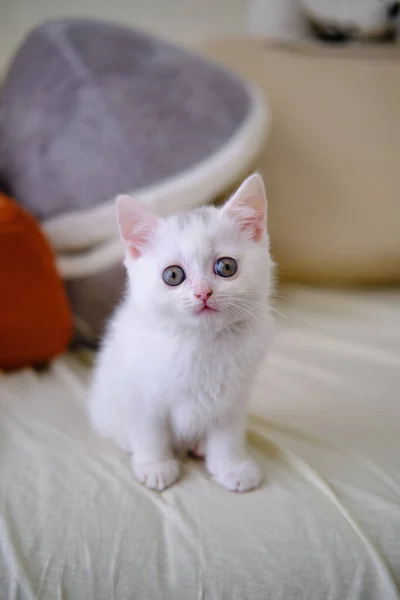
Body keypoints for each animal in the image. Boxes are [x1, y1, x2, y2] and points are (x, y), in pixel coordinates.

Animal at [87, 173, 276, 492]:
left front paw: (232, 466)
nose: (203, 293)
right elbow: (149, 431)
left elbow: (227, 434)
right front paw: (155, 466)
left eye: (226, 266)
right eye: (173, 275)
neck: (202, 343)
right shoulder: (141, 394)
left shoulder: (233, 397)